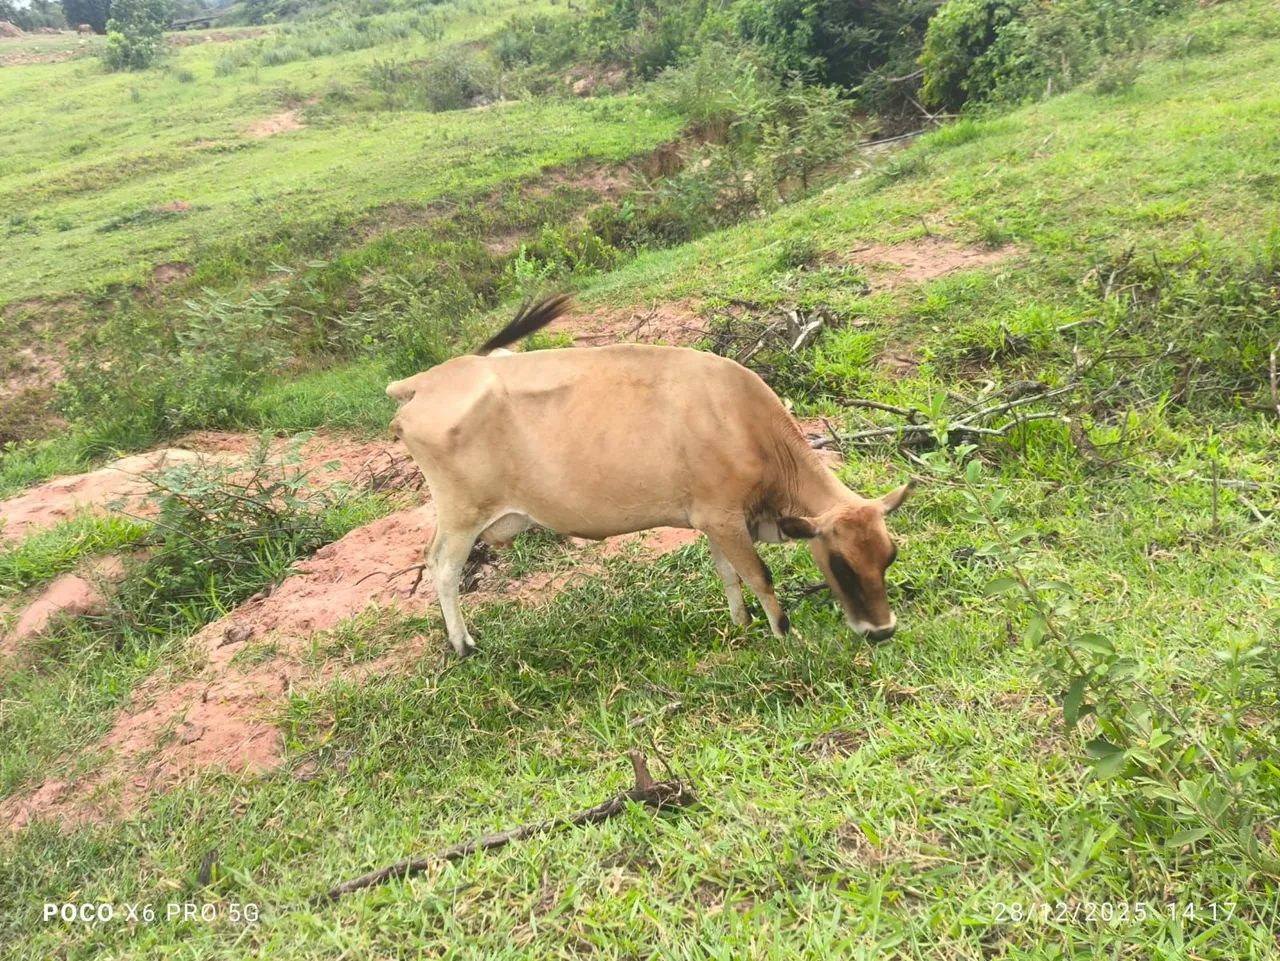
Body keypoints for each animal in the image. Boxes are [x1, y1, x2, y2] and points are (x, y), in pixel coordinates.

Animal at [387, 295, 912, 657]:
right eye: (840, 564)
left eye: (889, 557)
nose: (882, 630)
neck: (744, 422)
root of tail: (428, 379)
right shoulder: (725, 517)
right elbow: (759, 576)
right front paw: (786, 637)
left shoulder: (713, 518)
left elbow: (728, 574)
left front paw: (740, 625)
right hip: (462, 515)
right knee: (443, 568)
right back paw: (464, 645)